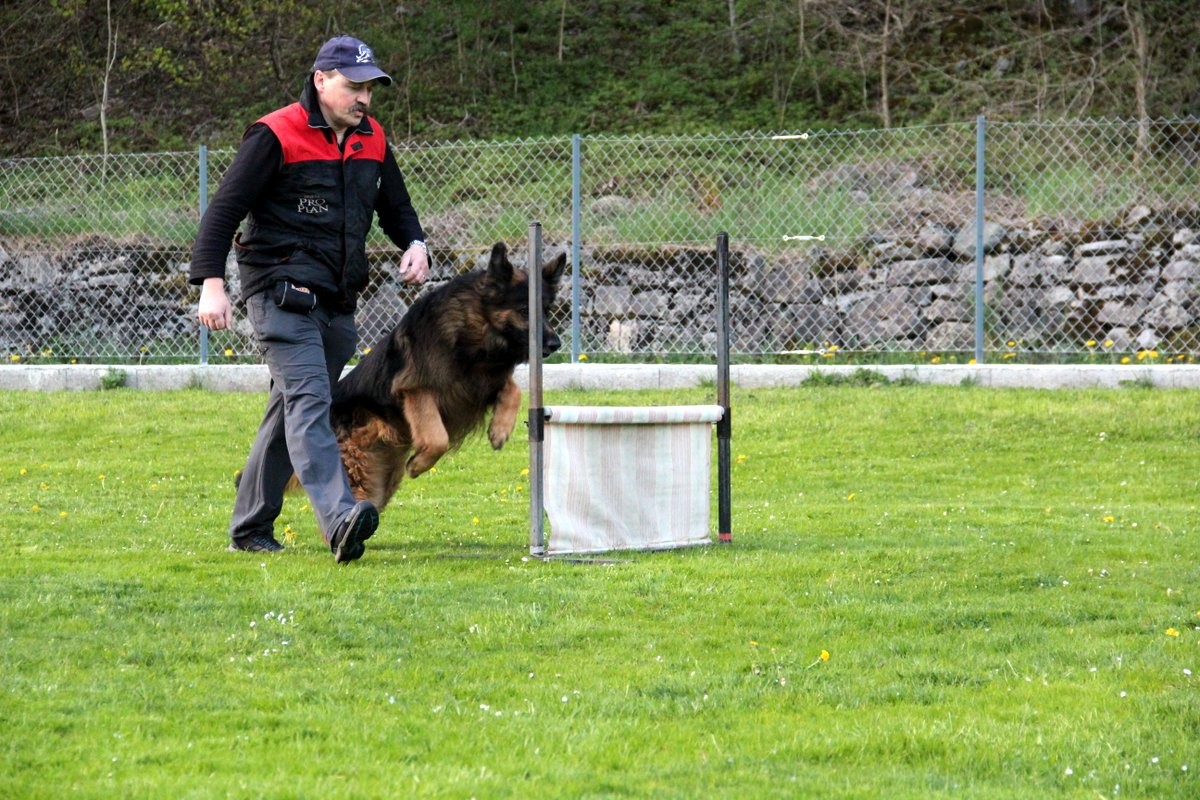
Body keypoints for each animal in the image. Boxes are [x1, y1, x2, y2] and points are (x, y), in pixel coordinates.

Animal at [329, 242, 567, 511]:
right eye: (525, 311)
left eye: (547, 311)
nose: (555, 344)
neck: (472, 333)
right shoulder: (417, 389)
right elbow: (437, 437)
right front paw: (418, 464)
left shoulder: (484, 381)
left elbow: (514, 390)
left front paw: (500, 431)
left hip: (379, 482)